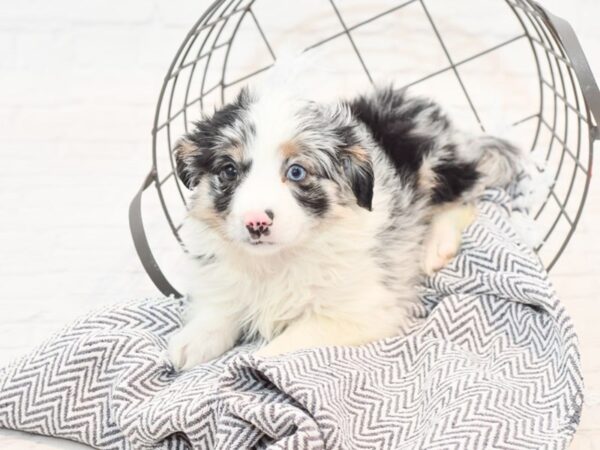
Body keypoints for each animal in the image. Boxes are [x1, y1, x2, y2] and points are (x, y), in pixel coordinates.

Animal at [168, 83, 520, 370]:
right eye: (229, 170)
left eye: (297, 172)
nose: (256, 222)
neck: (278, 260)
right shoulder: (226, 276)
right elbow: (220, 306)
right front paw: (191, 341)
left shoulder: (362, 311)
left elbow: (281, 346)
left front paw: (246, 368)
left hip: (438, 165)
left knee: (467, 198)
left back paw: (437, 246)